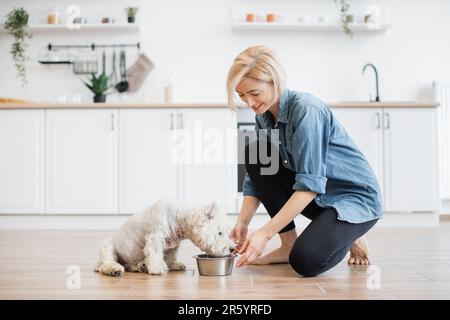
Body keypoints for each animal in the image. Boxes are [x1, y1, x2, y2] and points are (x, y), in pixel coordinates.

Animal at [93, 198, 234, 276]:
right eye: (220, 233)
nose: (232, 248)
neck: (180, 218)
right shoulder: (155, 237)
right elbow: (155, 254)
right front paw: (158, 269)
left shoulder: (173, 244)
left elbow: (171, 256)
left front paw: (174, 265)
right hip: (108, 247)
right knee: (106, 262)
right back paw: (115, 270)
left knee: (129, 266)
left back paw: (141, 266)